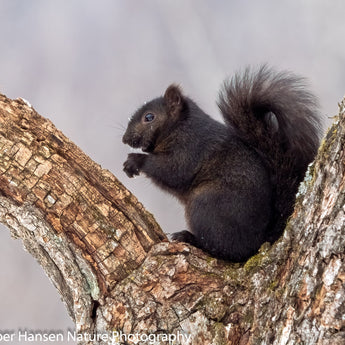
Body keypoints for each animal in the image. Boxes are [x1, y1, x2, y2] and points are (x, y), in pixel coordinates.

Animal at [122, 65, 322, 260]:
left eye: (149, 117)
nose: (124, 139)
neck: (179, 127)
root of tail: (259, 241)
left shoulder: (191, 149)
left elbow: (172, 171)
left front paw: (135, 161)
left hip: (206, 205)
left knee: (226, 250)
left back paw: (190, 238)